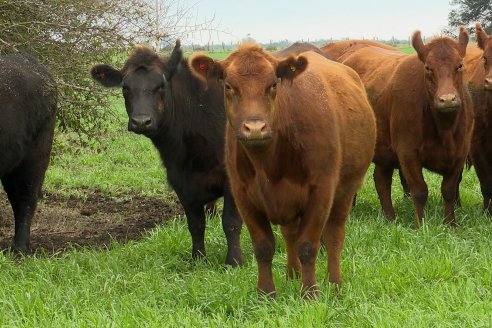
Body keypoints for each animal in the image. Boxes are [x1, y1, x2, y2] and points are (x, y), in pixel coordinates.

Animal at [91, 40, 244, 266]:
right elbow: (196, 225)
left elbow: (231, 222)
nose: (141, 121)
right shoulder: (181, 181)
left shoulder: (232, 178)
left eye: (161, 86)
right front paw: (198, 260)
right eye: (126, 88)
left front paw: (234, 262)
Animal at [190, 44, 374, 298]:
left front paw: (310, 293)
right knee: (289, 233)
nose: (254, 128)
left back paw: (334, 284)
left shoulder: (321, 193)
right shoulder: (243, 196)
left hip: (345, 191)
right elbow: (264, 246)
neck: (268, 163)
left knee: (334, 235)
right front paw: (266, 294)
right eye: (228, 86)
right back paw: (292, 274)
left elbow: (308, 245)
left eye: (273, 85)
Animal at [330, 27, 472, 226]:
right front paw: (421, 224)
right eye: (428, 68)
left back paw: (390, 218)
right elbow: (419, 191)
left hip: (383, 151)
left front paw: (451, 224)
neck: (445, 128)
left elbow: (449, 190)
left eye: (459, 65)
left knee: (381, 180)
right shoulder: (408, 153)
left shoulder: (460, 153)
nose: (448, 99)